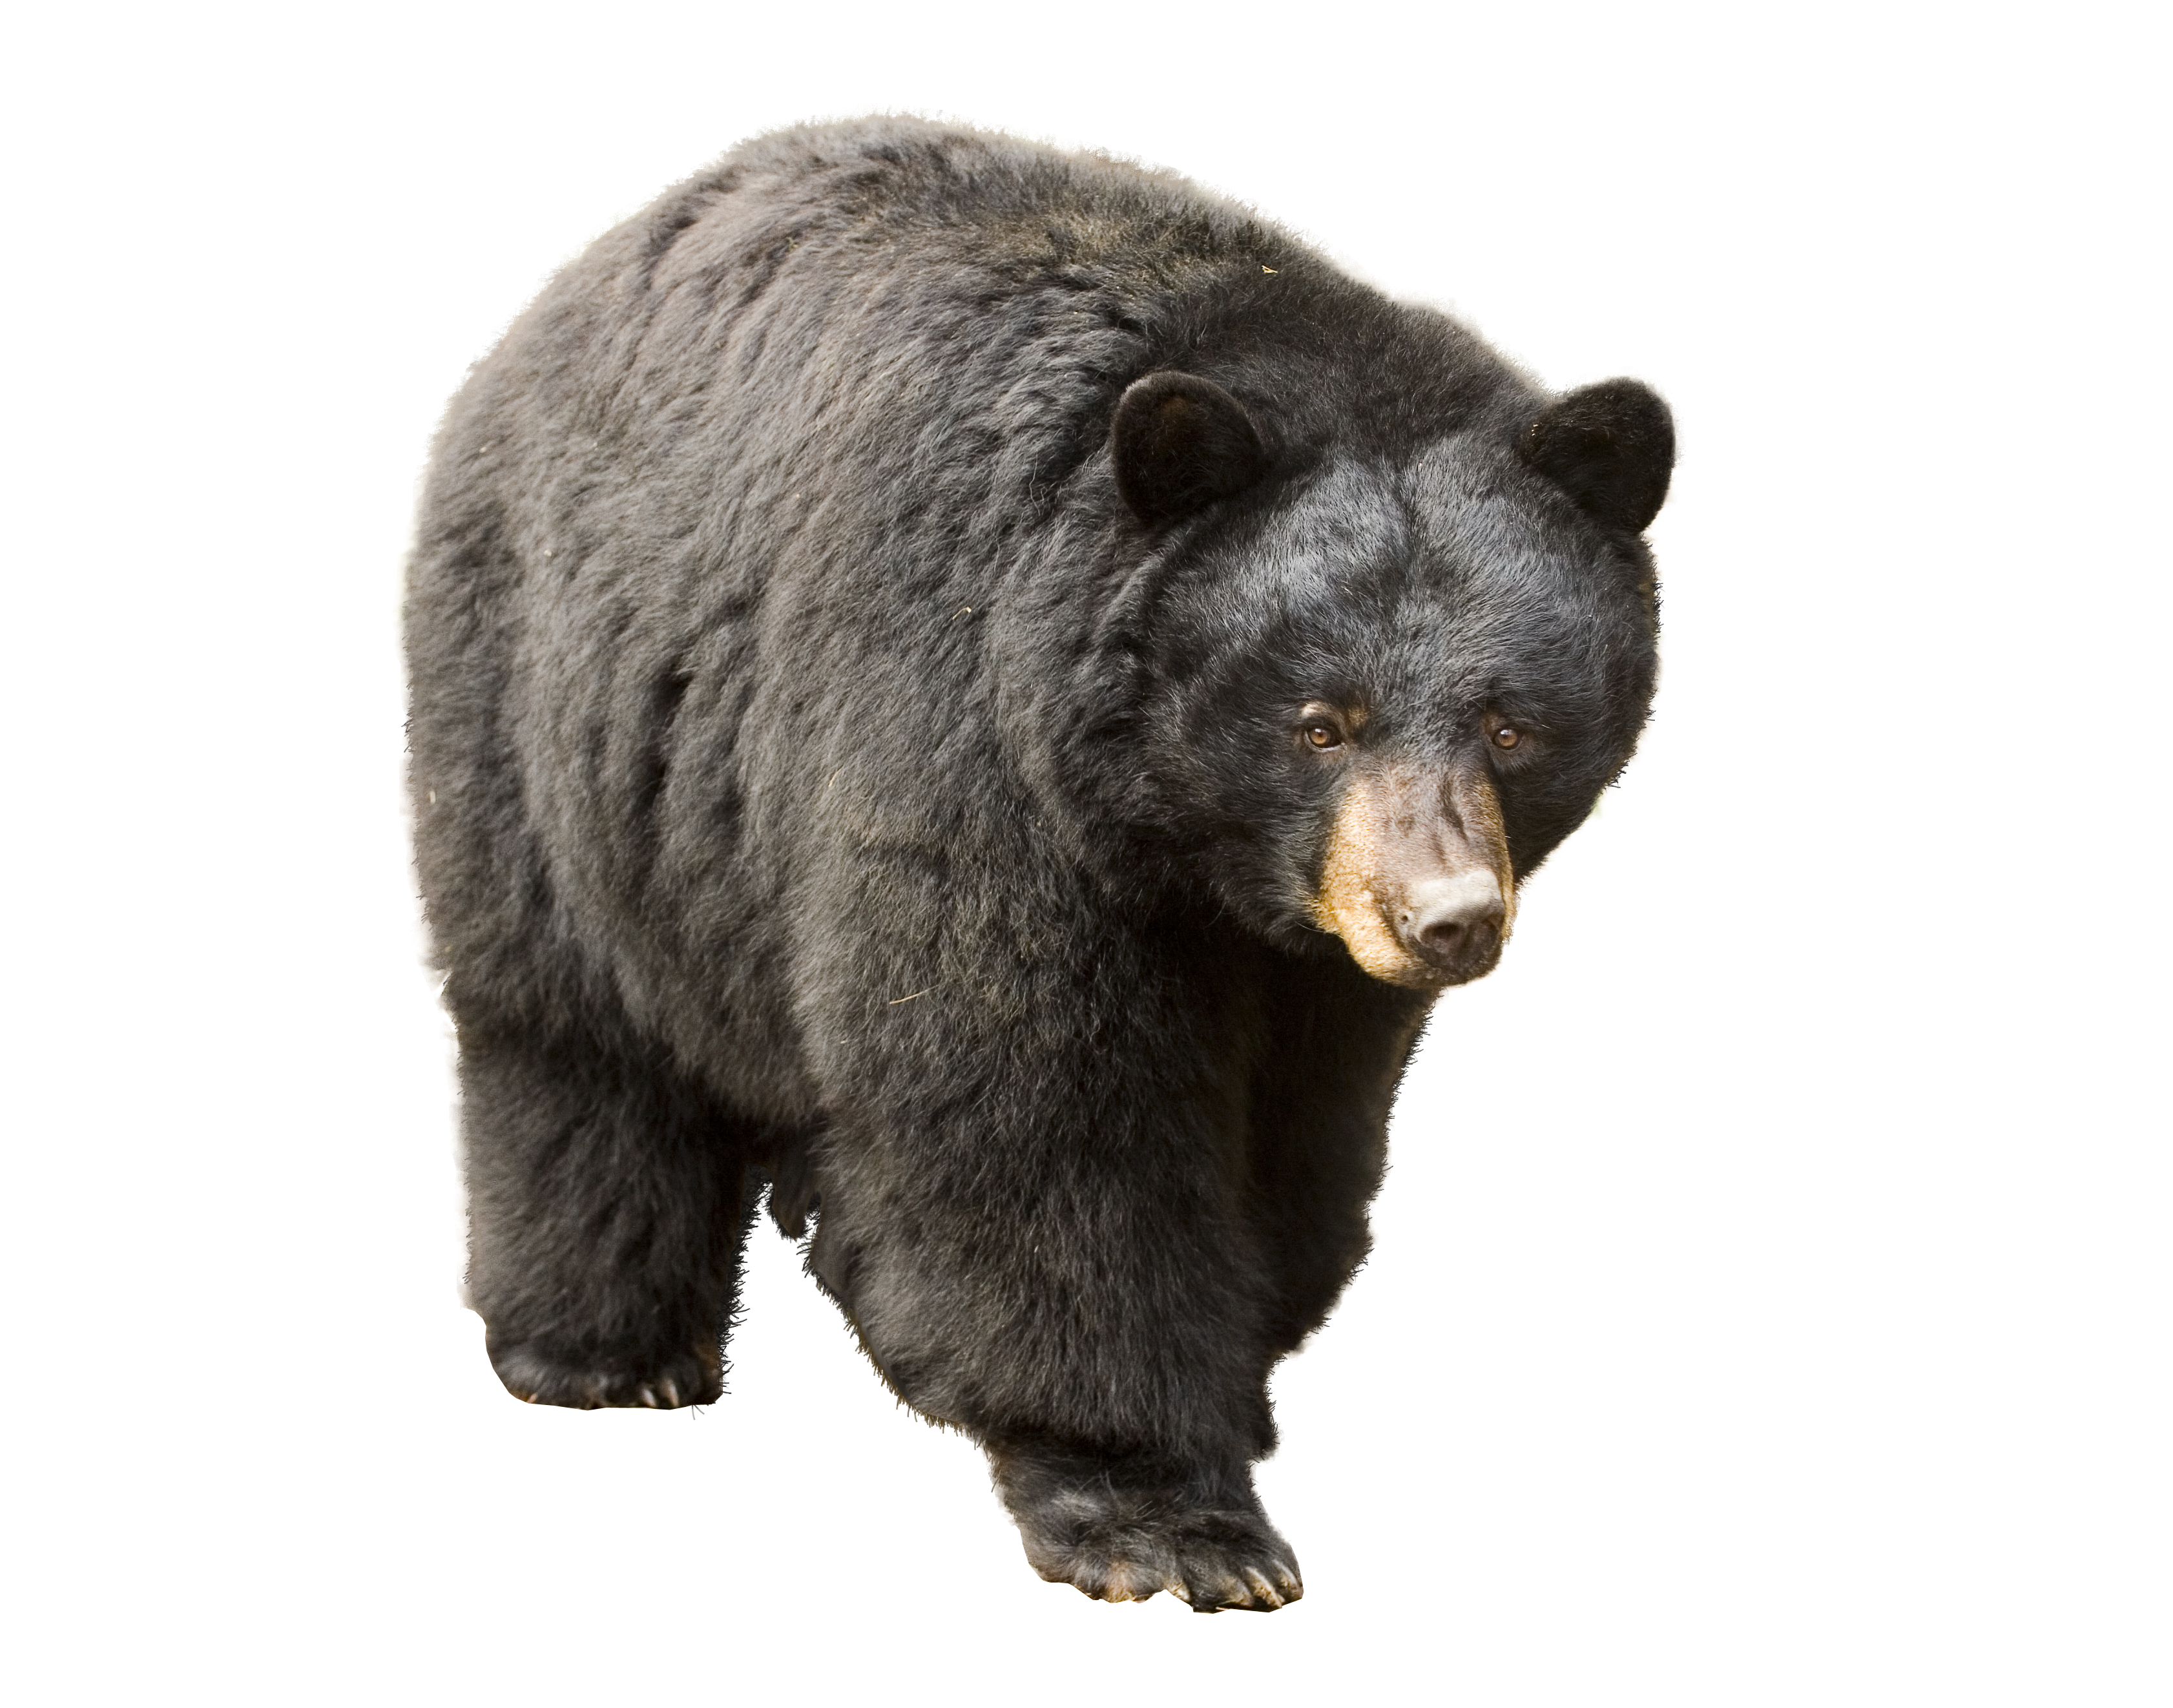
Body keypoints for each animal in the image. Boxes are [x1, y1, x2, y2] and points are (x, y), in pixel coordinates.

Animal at [401, 116, 1673, 1613]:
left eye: (1509, 721)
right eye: (1319, 720)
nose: (1444, 919)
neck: (1176, 836)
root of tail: (538, 327)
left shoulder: (1301, 955)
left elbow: (1299, 1131)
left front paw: (1236, 1385)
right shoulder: (969, 735)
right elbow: (1037, 1105)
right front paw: (1159, 1513)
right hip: (552, 720)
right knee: (573, 1041)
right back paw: (604, 1352)